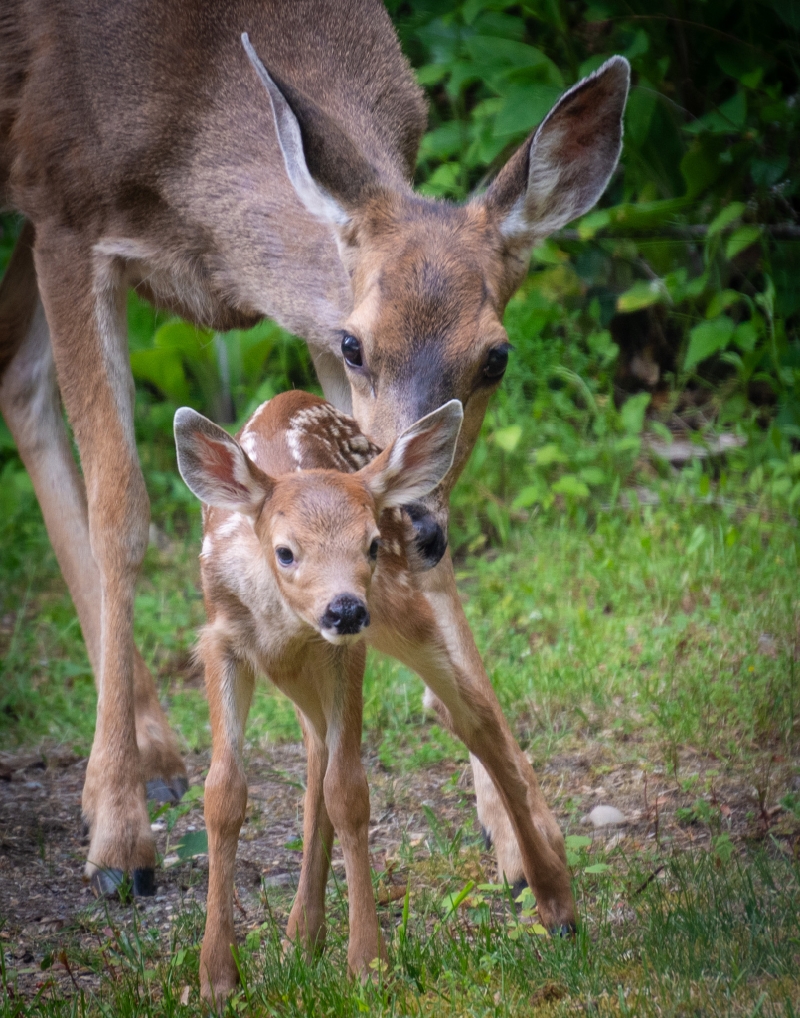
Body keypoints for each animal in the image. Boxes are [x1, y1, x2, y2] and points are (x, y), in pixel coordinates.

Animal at [0, 0, 628, 925]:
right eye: (357, 343)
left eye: (497, 357)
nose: (418, 529)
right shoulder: (60, 205)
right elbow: (123, 508)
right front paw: (117, 836)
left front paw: (523, 837)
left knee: (13, 370)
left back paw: (158, 750)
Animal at [174, 390, 464, 1001]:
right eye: (285, 552)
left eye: (370, 544)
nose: (346, 609)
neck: (283, 625)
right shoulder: (221, 640)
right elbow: (223, 793)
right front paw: (216, 976)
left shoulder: (344, 655)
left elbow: (348, 792)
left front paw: (369, 965)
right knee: (316, 756)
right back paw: (300, 940)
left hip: (399, 616)